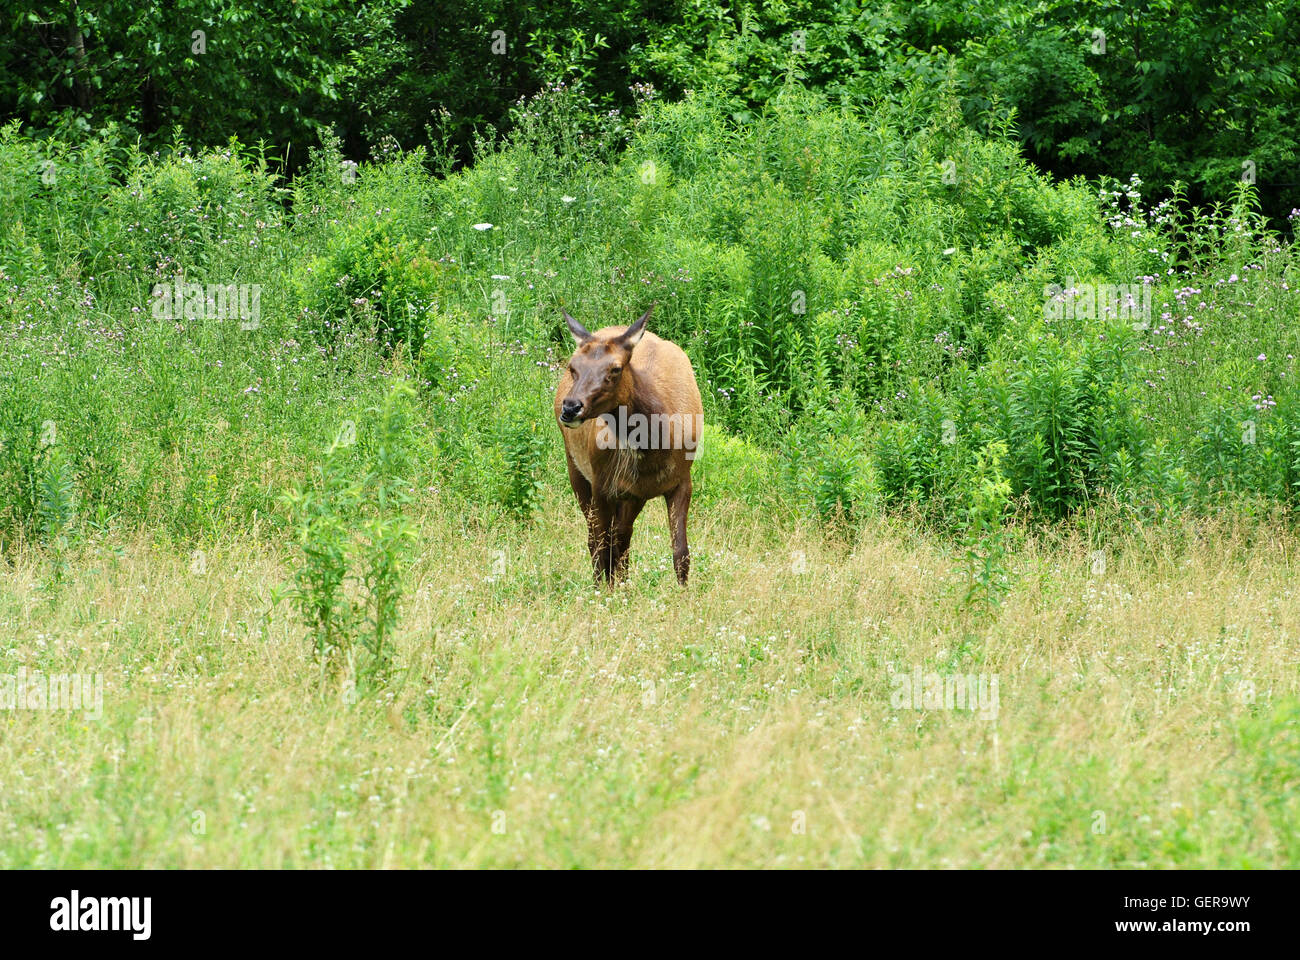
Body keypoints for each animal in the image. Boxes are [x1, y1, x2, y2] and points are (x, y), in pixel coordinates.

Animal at [553, 304, 707, 582]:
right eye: (573, 366)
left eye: (615, 369)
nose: (569, 408)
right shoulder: (602, 483)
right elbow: (602, 545)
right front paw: (604, 590)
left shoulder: (681, 480)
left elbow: (681, 553)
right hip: (575, 465)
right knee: (598, 539)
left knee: (621, 537)